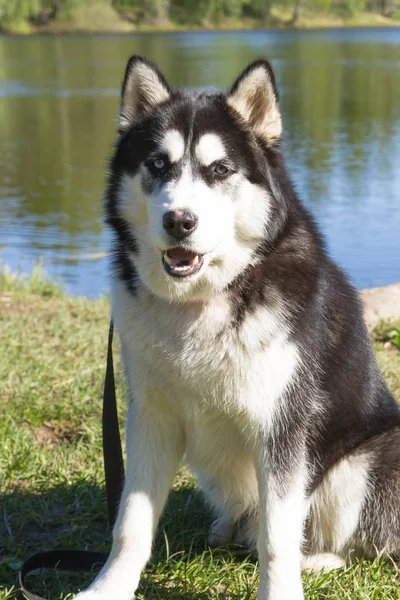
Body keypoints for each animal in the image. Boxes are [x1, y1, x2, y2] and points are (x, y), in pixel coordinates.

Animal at [75, 56, 400, 600]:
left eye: (220, 170)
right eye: (157, 164)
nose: (179, 220)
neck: (201, 303)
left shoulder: (282, 429)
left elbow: (277, 538)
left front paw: (283, 591)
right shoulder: (151, 417)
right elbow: (131, 522)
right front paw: (109, 588)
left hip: (366, 462)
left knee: (349, 543)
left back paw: (317, 560)